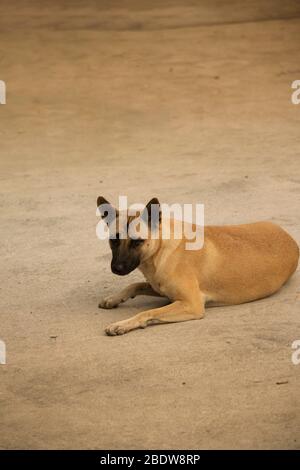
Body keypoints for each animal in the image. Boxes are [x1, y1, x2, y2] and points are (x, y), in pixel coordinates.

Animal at [97, 196, 298, 336]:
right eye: (113, 240)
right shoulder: (161, 289)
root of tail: (292, 240)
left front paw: (122, 324)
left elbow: (146, 312)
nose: (117, 268)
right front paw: (114, 298)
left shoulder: (191, 304)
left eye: (137, 242)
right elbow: (135, 285)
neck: (161, 248)